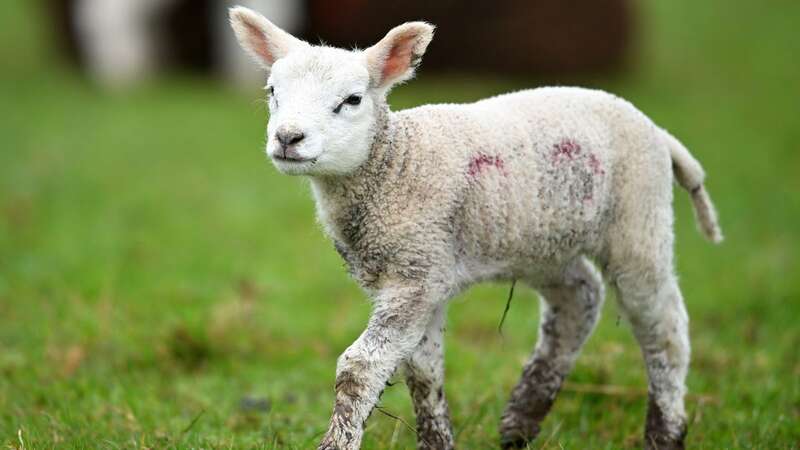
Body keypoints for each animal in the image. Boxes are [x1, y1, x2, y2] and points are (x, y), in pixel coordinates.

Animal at [228, 7, 720, 450]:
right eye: (272, 91)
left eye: (352, 100)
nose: (288, 138)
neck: (396, 161)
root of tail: (657, 130)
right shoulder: (420, 276)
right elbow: (423, 373)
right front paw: (438, 441)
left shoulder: (416, 273)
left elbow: (360, 367)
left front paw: (338, 441)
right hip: (542, 240)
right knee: (579, 298)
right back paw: (521, 420)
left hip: (638, 219)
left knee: (664, 328)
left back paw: (665, 433)